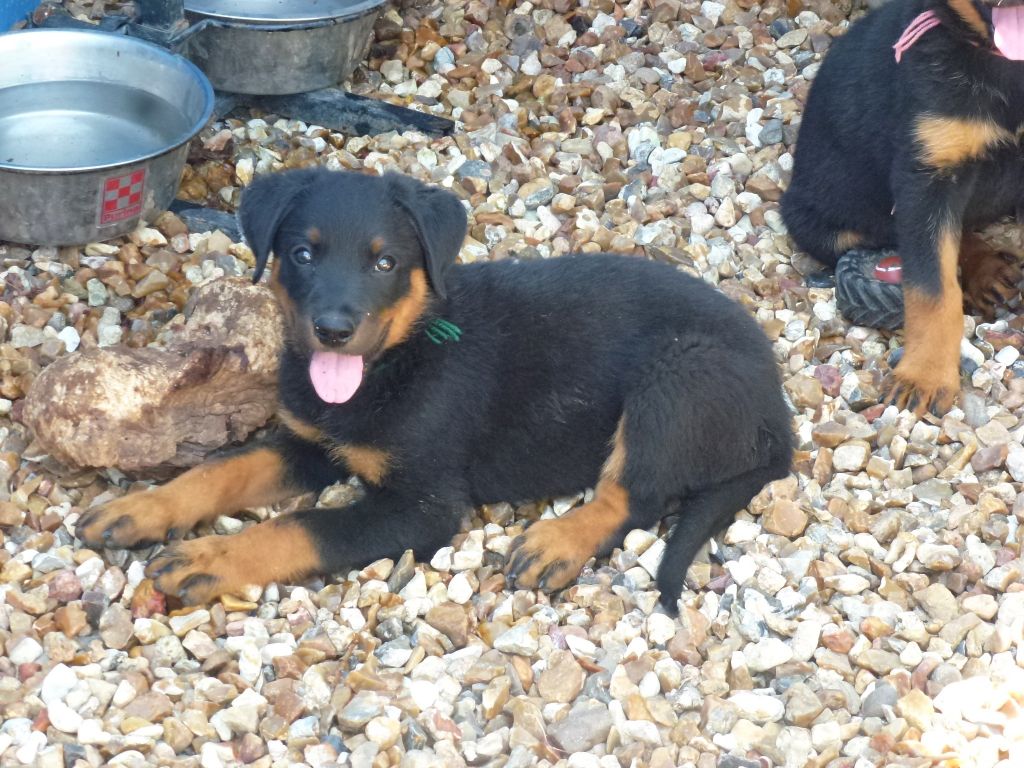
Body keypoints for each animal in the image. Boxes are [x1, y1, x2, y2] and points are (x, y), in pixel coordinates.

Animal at [76, 168, 794, 613]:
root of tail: (778, 410)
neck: (398, 360)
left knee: (633, 497)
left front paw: (214, 555)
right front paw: (144, 508)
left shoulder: (422, 506)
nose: (333, 330)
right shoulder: (310, 443)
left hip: (677, 378)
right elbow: (221, 470)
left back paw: (558, 543)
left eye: (384, 261)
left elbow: (302, 526)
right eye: (303, 254)